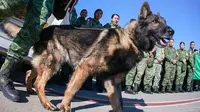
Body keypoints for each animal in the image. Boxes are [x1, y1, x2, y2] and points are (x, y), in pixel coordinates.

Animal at [25, 1, 174, 112]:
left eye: (165, 22)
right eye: (155, 21)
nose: (172, 31)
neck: (131, 40)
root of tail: (45, 29)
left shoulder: (112, 83)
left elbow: (119, 105)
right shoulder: (84, 68)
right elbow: (71, 90)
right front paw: (65, 107)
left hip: (48, 63)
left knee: (30, 72)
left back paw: (29, 89)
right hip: (54, 64)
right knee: (39, 83)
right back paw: (46, 103)